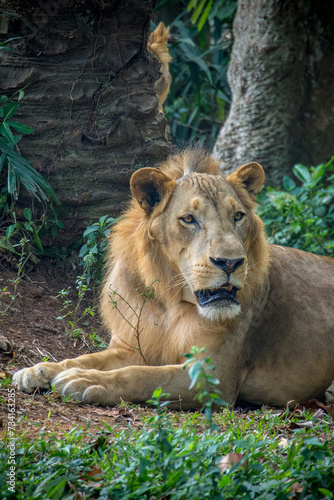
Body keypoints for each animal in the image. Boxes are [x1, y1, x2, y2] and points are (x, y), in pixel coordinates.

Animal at [12, 150, 334, 408]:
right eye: (189, 219)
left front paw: (86, 381)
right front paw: (41, 371)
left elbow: (142, 376)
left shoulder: (212, 377)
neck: (171, 301)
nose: (231, 262)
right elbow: (88, 358)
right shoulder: (130, 347)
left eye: (238, 216)